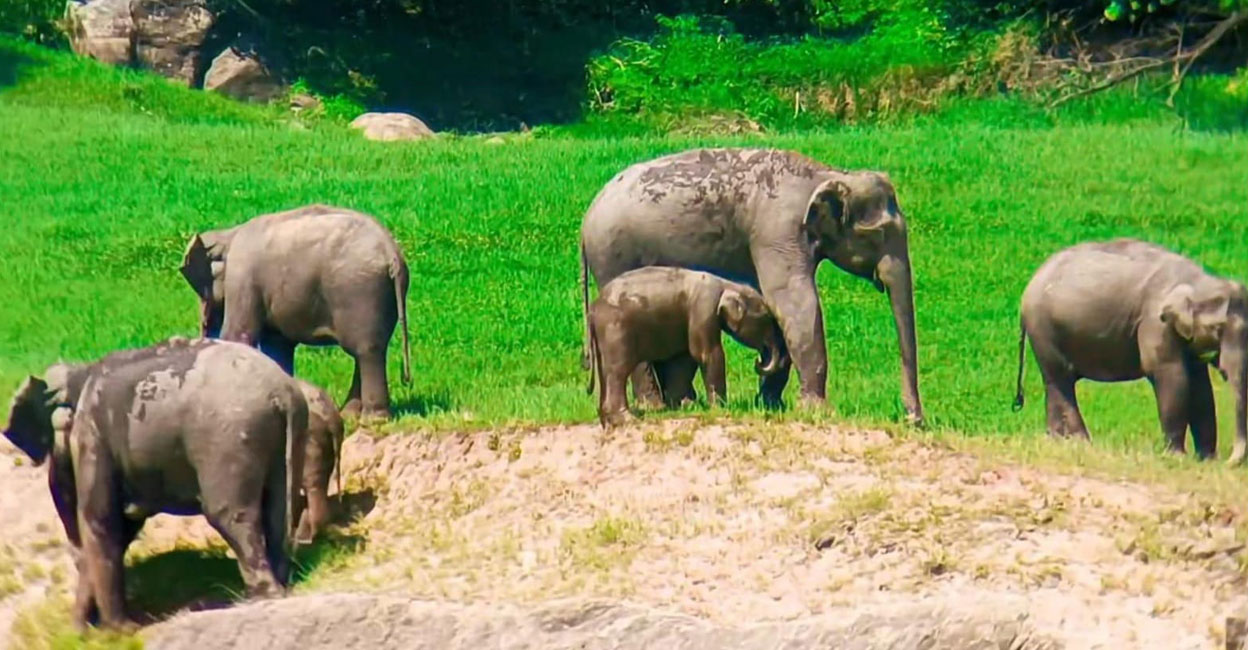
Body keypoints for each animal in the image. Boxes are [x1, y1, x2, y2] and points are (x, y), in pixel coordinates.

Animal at [2, 337, 309, 630]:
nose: (79, 629)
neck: (81, 373)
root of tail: (281, 393)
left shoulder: (92, 434)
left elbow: (101, 518)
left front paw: (120, 630)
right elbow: (123, 526)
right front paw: (86, 629)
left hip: (229, 438)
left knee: (230, 515)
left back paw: (257, 597)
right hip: (285, 436)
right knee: (277, 511)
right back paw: (279, 585)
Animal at [180, 204, 412, 421]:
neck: (229, 233)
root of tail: (391, 253)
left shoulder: (243, 276)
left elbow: (239, 335)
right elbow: (277, 344)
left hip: (359, 291)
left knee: (366, 350)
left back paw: (372, 419)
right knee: (368, 350)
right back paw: (350, 415)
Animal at [585, 266, 787, 427]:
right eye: (766, 319)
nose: (758, 361)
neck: (726, 284)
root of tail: (593, 309)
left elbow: (683, 358)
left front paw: (687, 406)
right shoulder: (703, 311)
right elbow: (706, 354)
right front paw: (720, 407)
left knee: (605, 372)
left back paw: (607, 420)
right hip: (616, 332)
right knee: (617, 372)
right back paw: (627, 420)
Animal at [1013, 238, 1248, 465]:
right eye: (1217, 329)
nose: (1230, 462)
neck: (1198, 281)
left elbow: (1201, 387)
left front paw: (1207, 460)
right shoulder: (1155, 323)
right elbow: (1172, 377)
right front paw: (1176, 458)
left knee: (1055, 383)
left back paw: (1058, 440)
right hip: (1043, 330)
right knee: (1060, 380)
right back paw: (1080, 443)